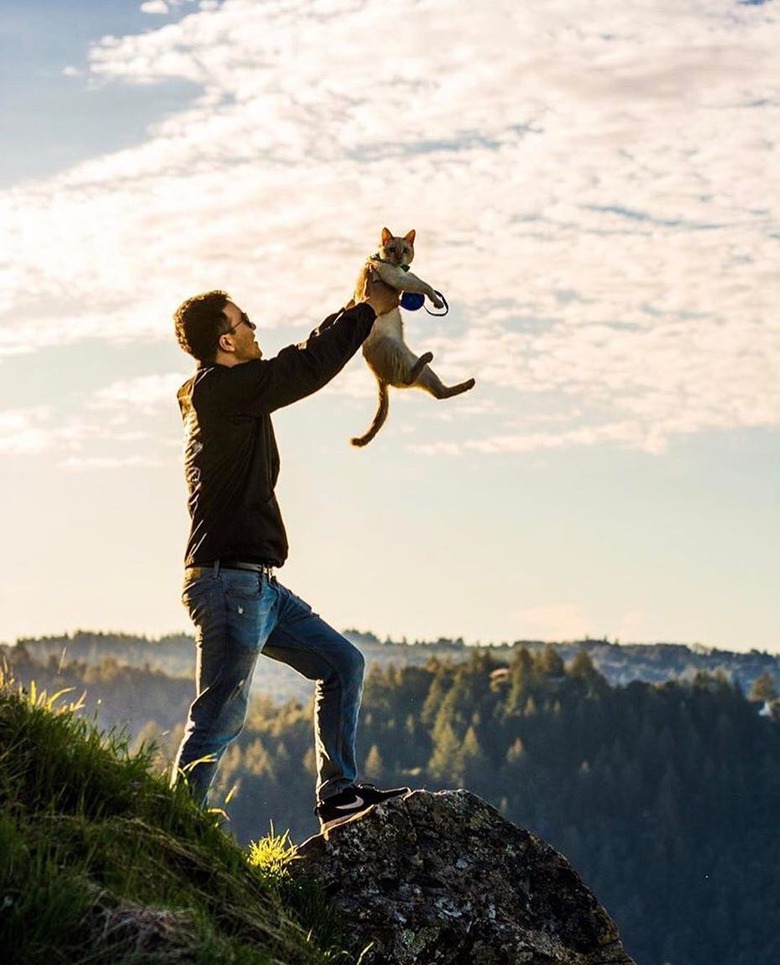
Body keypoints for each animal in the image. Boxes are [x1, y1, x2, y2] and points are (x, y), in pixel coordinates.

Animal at [352, 227, 476, 448]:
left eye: (405, 250)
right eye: (392, 249)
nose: (399, 257)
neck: (398, 267)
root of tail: (379, 378)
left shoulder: (407, 277)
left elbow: (422, 283)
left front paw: (436, 300)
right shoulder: (400, 280)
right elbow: (425, 286)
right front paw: (437, 301)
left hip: (419, 368)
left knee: (439, 393)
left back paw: (469, 382)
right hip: (396, 349)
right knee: (408, 379)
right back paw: (429, 357)